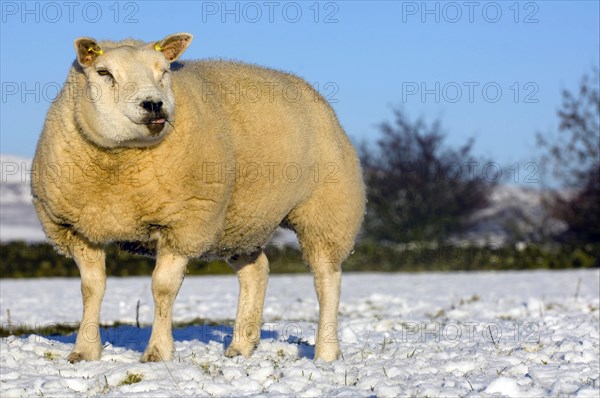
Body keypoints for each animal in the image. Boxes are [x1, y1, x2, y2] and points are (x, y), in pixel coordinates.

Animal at [31, 33, 366, 364]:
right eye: (104, 73)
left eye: (164, 71)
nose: (153, 104)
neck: (119, 167)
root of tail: (306, 88)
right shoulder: (76, 229)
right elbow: (92, 288)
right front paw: (84, 351)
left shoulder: (183, 224)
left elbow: (162, 288)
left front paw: (158, 352)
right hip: (240, 221)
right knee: (256, 271)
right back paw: (241, 346)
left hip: (326, 209)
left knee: (326, 278)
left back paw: (326, 353)